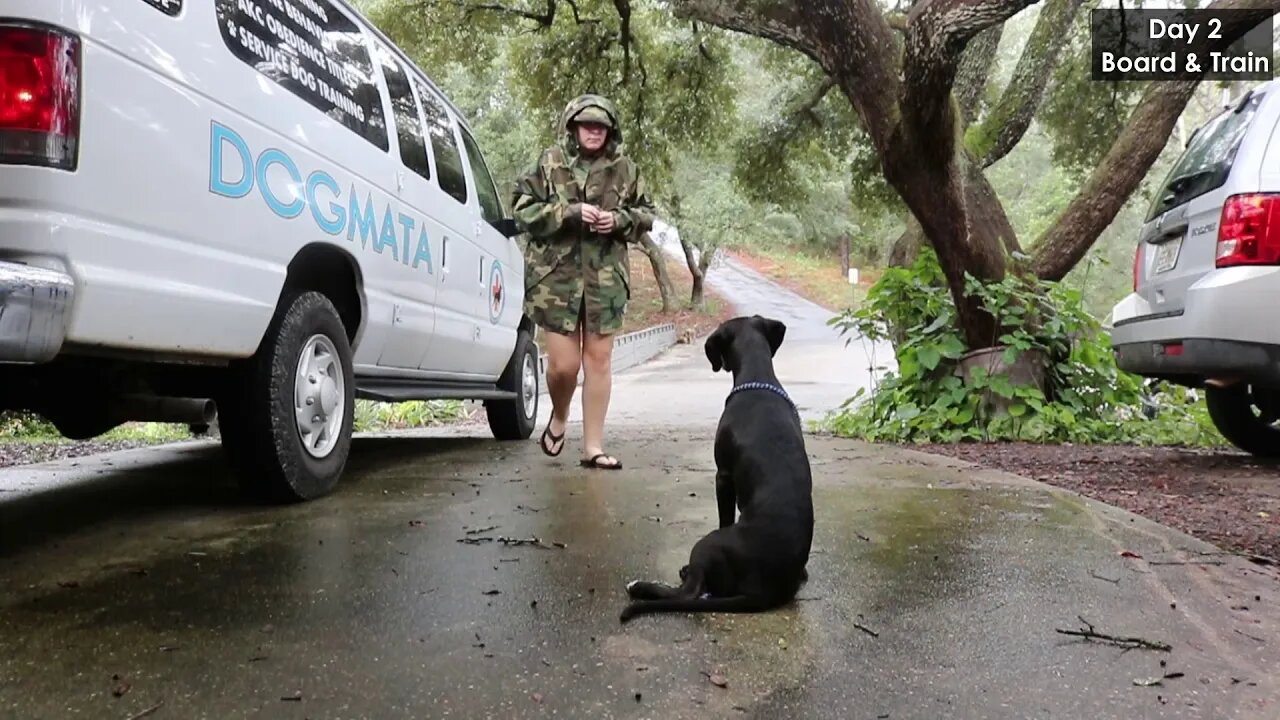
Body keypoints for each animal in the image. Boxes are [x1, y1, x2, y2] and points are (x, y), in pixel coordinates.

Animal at [622, 316, 819, 620]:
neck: (757, 380)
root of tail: (761, 593)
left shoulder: (722, 477)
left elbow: (724, 514)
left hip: (706, 543)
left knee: (689, 592)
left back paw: (642, 585)